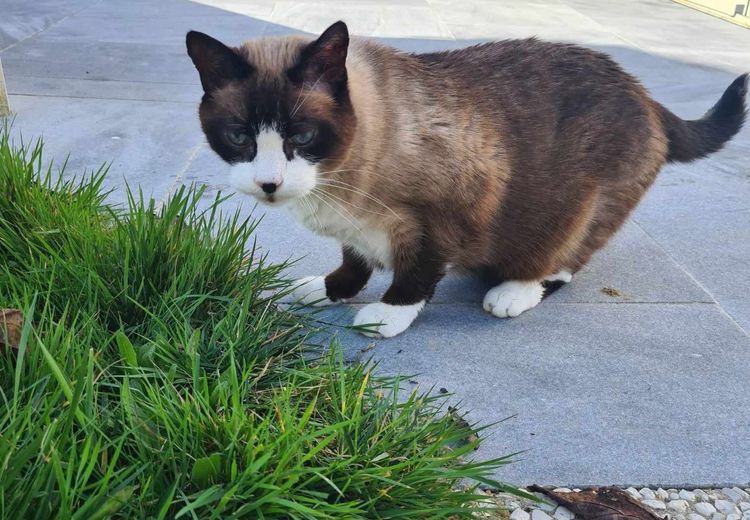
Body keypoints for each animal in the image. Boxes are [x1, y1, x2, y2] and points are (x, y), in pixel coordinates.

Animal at [185, 21, 748, 338]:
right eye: (239, 137)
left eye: (301, 135)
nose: (269, 184)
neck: (335, 181)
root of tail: (644, 92)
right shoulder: (354, 229)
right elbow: (354, 262)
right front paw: (329, 290)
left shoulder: (443, 215)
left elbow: (417, 271)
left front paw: (388, 315)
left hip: (579, 210)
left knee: (567, 254)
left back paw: (515, 291)